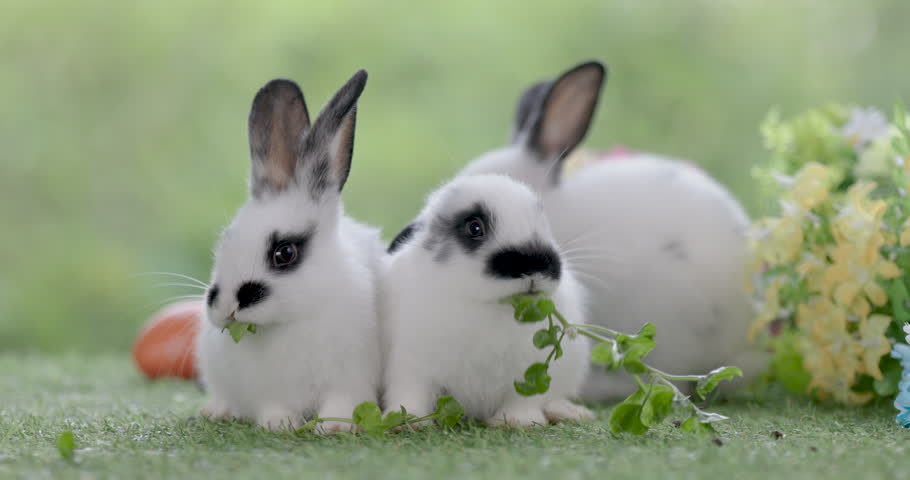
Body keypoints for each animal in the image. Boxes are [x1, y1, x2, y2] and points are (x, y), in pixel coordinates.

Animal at [196, 70, 383, 432]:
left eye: (284, 253)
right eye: (226, 240)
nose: (226, 308)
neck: (296, 320)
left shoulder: (350, 382)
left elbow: (342, 404)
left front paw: (335, 428)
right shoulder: (267, 391)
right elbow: (274, 407)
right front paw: (279, 425)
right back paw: (216, 411)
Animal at [381, 174, 594, 427]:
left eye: (543, 222)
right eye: (474, 228)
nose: (534, 266)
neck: (486, 304)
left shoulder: (531, 369)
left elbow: (524, 398)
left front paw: (516, 422)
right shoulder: (410, 363)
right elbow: (410, 393)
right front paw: (407, 422)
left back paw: (569, 413)